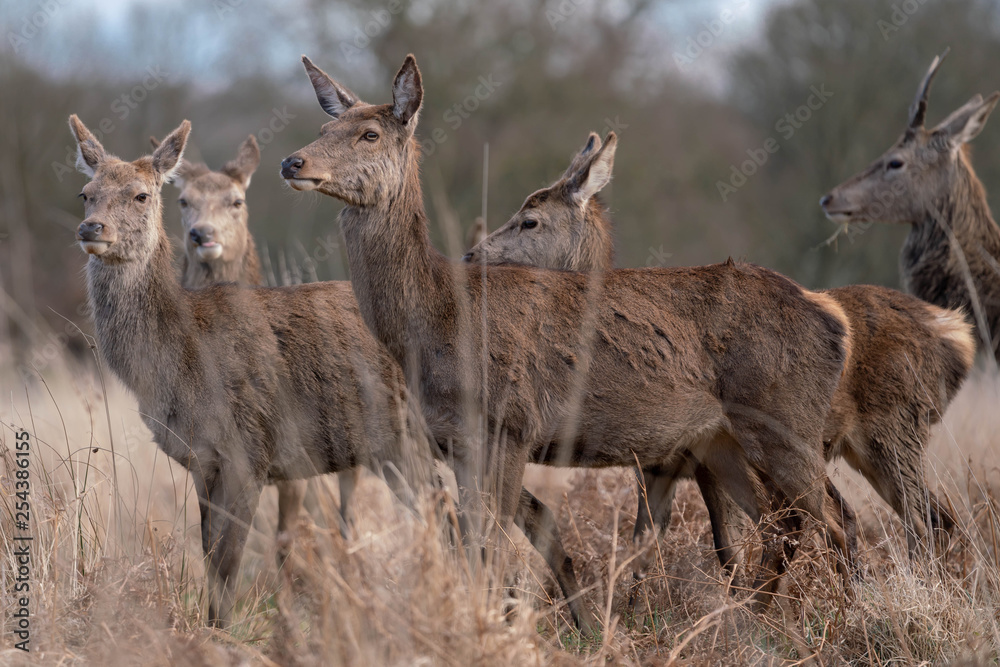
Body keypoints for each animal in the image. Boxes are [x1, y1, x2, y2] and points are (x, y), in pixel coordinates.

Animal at [281, 53, 861, 616]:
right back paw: (755, 618)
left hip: (784, 420)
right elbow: (476, 543)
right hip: (721, 441)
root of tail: (836, 325)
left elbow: (493, 546)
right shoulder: (455, 440)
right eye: (323, 126)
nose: (293, 162)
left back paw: (846, 614)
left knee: (836, 517)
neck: (434, 324)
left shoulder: (510, 423)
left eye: (370, 134)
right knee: (781, 522)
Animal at [466, 131, 974, 575]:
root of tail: (959, 334)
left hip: (879, 430)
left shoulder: (691, 458)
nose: (471, 254)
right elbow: (662, 545)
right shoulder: (663, 463)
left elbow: (723, 546)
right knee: (935, 517)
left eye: (529, 219)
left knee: (908, 519)